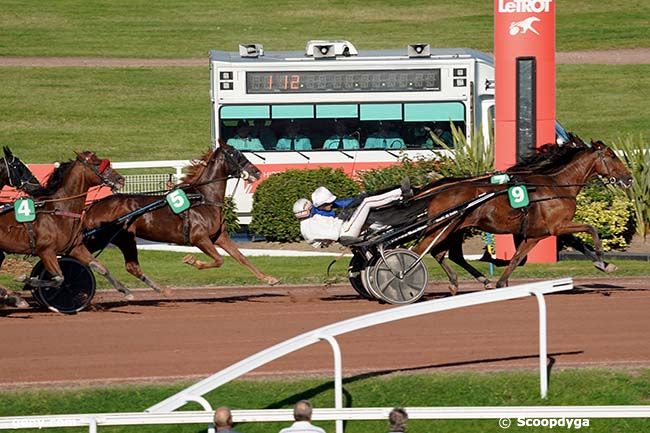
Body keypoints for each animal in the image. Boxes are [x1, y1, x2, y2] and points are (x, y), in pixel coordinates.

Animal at [0, 152, 126, 308]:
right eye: (98, 164)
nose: (120, 179)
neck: (59, 212)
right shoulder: (46, 251)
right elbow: (59, 278)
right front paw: (27, 280)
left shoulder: (75, 247)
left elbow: (100, 266)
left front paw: (125, 290)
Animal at [81, 140, 278, 292]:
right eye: (235, 154)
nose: (257, 172)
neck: (203, 198)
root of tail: (94, 205)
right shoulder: (200, 238)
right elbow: (219, 260)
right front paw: (191, 260)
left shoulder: (219, 236)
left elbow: (241, 257)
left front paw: (269, 278)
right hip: (104, 237)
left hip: (123, 238)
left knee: (125, 265)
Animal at [412, 138, 632, 290]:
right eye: (613, 155)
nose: (629, 178)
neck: (557, 185)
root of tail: (438, 191)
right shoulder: (557, 226)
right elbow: (591, 228)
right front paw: (601, 256)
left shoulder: (538, 233)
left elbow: (518, 258)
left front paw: (603, 265)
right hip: (442, 228)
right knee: (418, 251)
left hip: (455, 229)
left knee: (444, 253)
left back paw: (464, 281)